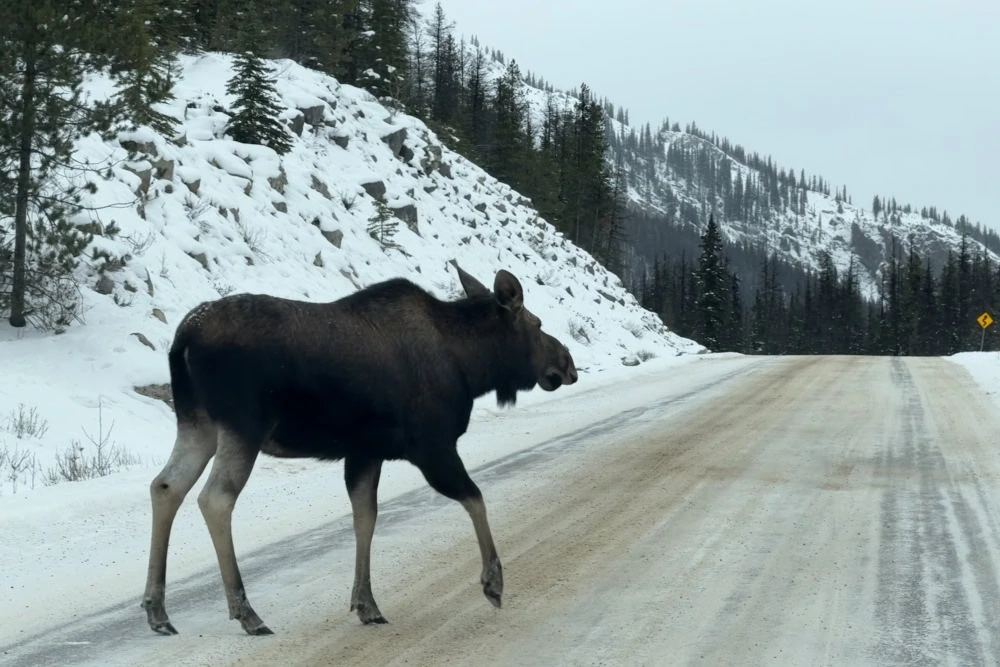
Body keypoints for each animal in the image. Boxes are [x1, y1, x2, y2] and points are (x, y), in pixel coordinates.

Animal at [141, 260, 580, 636]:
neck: (473, 368)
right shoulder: (432, 446)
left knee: (166, 486)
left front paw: (366, 604)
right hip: (243, 426)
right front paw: (493, 582)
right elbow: (475, 498)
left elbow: (365, 519)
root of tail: (183, 339)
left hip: (198, 424)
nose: (568, 364)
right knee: (215, 498)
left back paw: (158, 610)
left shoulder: (365, 452)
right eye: (537, 323)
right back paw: (246, 612)